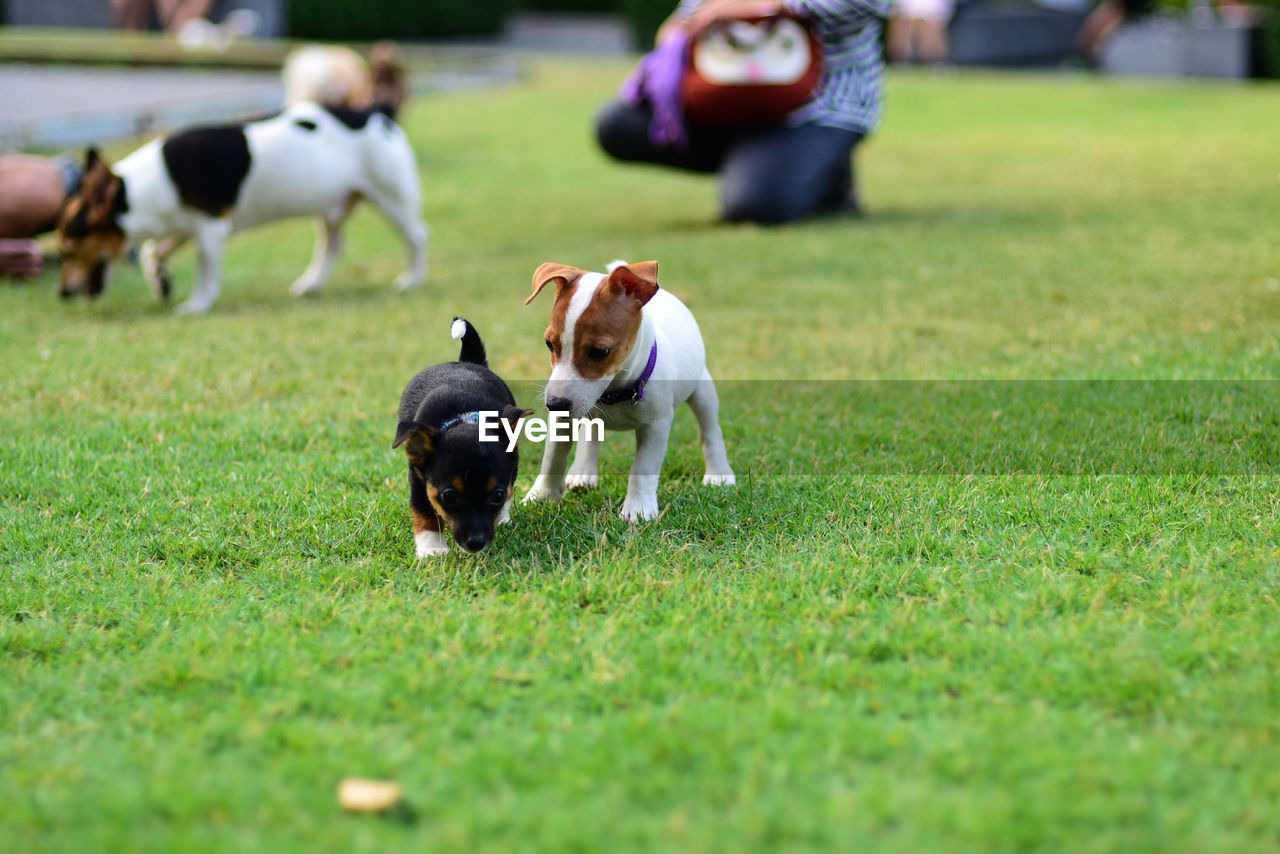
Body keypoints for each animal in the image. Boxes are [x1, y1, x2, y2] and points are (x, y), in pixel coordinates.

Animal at [57, 101, 427, 313]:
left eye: (68, 248)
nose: (62, 292)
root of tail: (379, 115)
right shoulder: (188, 226)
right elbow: (150, 251)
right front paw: (160, 281)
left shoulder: (211, 226)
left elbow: (206, 267)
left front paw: (199, 303)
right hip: (334, 207)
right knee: (332, 244)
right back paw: (311, 283)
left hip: (392, 196)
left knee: (417, 235)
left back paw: (413, 278)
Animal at [389, 320, 529, 560]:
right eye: (450, 496)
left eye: (497, 495)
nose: (476, 543)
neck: (464, 417)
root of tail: (466, 361)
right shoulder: (418, 477)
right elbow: (424, 511)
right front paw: (432, 549)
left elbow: (510, 489)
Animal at [522, 258, 742, 522]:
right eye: (549, 344)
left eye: (600, 352)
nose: (554, 404)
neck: (614, 391)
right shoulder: (565, 418)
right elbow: (552, 457)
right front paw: (541, 495)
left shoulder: (656, 425)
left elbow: (643, 467)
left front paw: (638, 508)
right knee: (591, 435)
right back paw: (583, 471)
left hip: (703, 390)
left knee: (710, 432)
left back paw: (719, 472)